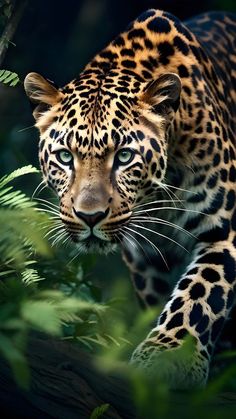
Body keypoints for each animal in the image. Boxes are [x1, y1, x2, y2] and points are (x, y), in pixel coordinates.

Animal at [24, 9, 236, 390]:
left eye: (123, 157)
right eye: (65, 157)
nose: (89, 216)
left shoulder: (222, 231)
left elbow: (201, 293)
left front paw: (168, 356)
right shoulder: (146, 257)